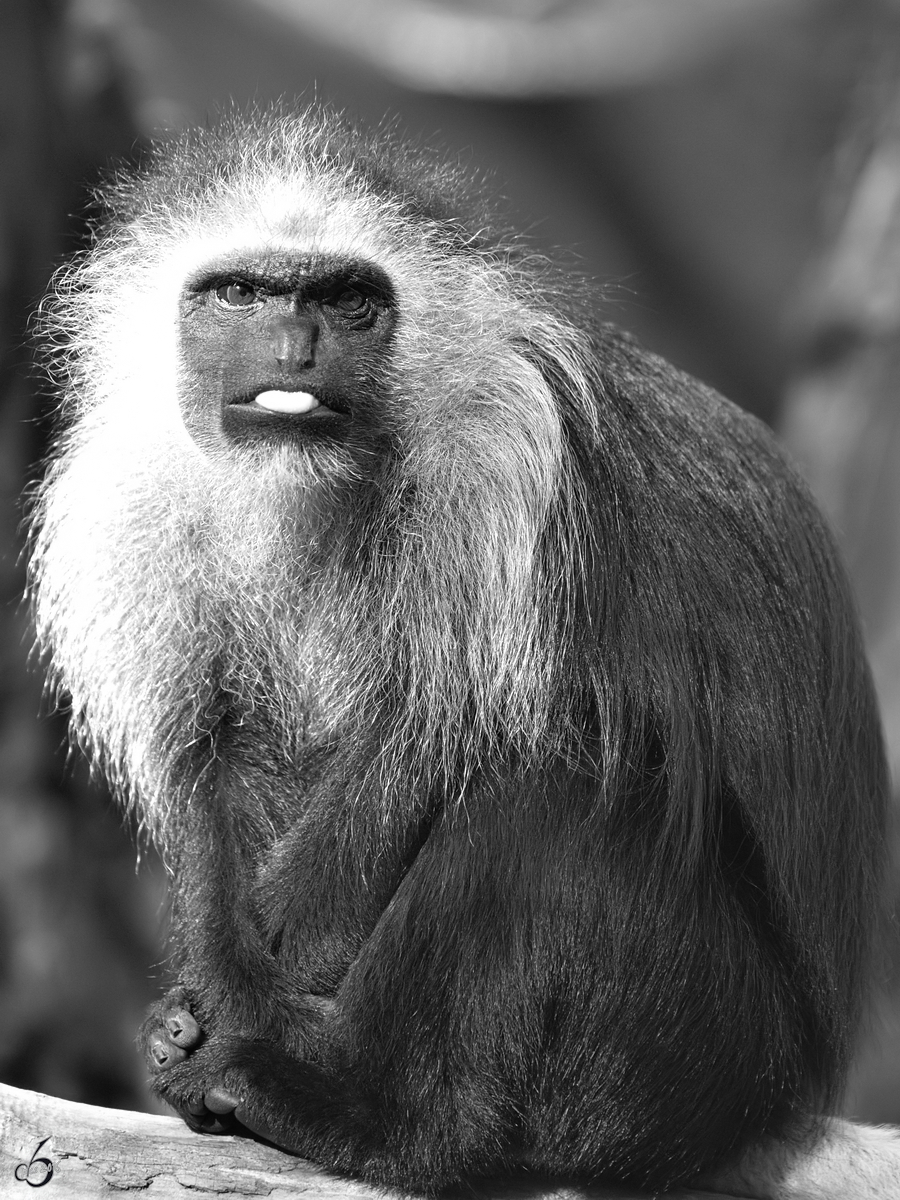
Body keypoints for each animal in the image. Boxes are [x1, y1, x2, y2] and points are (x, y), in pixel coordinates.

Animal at [26, 105, 900, 1200]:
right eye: (241, 295)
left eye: (347, 301)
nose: (296, 345)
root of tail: (782, 1101)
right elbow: (223, 763)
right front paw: (206, 1006)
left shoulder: (503, 471)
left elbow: (429, 743)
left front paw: (245, 1020)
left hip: (696, 1050)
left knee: (548, 810)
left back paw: (373, 1116)